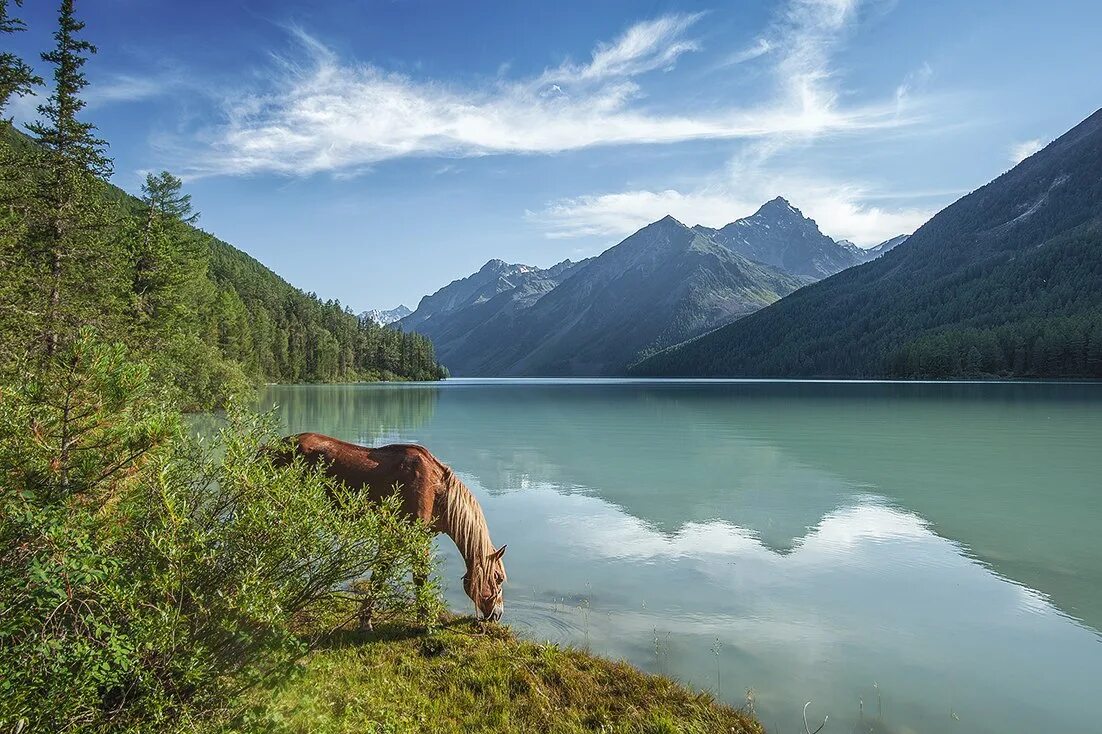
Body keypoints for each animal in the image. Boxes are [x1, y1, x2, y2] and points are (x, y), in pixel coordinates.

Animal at [268, 432, 509, 621]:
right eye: (498, 577)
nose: (497, 614)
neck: (435, 488)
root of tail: (272, 447)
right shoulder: (409, 536)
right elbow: (409, 576)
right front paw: (423, 620)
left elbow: (382, 574)